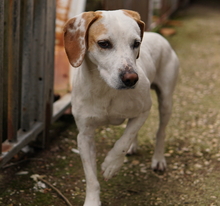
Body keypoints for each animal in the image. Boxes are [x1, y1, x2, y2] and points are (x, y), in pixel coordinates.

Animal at [63, 9, 179, 206]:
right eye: (104, 44)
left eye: (136, 43)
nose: (131, 78)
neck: (105, 90)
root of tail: (158, 35)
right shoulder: (84, 136)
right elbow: (91, 178)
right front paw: (92, 200)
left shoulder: (144, 110)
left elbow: (123, 142)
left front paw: (112, 164)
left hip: (166, 102)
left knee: (160, 132)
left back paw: (158, 159)